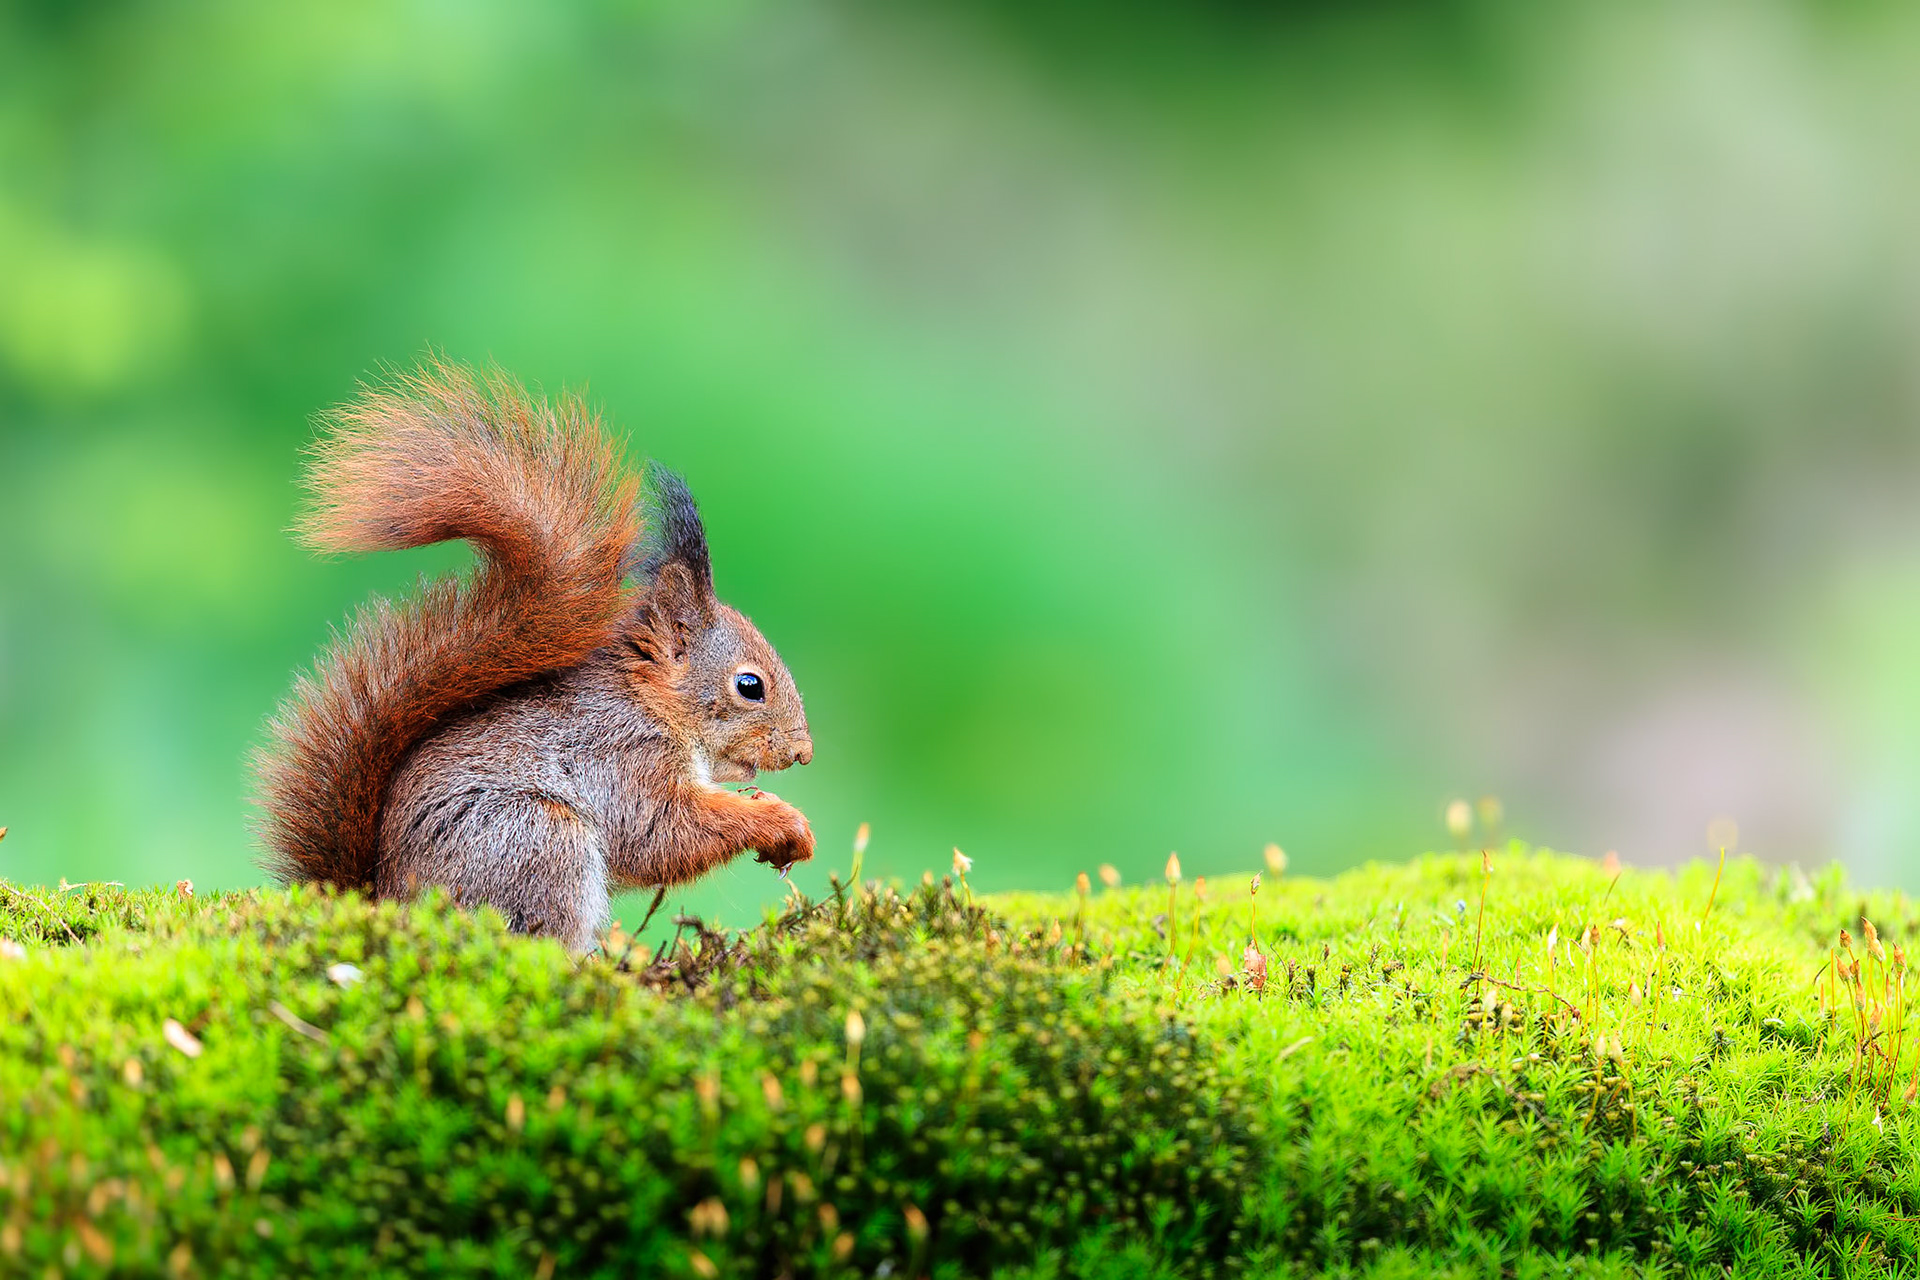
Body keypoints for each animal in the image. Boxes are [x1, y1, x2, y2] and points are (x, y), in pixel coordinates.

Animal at [254, 361, 815, 951]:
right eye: (749, 686)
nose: (804, 752)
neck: (651, 699)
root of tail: (386, 901)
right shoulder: (622, 757)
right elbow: (660, 833)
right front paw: (782, 821)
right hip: (539, 840)